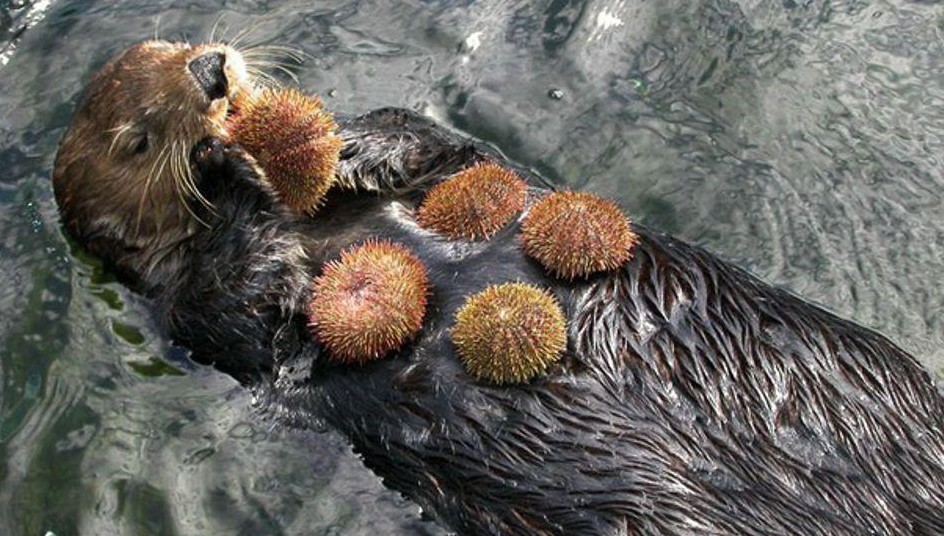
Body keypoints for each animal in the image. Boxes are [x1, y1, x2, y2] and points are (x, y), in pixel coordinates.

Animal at [53, 40, 944, 535]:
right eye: (136, 141)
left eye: (179, 39)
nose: (211, 70)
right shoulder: (194, 316)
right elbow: (244, 297)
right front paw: (227, 169)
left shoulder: (453, 164)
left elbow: (441, 144)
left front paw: (349, 146)